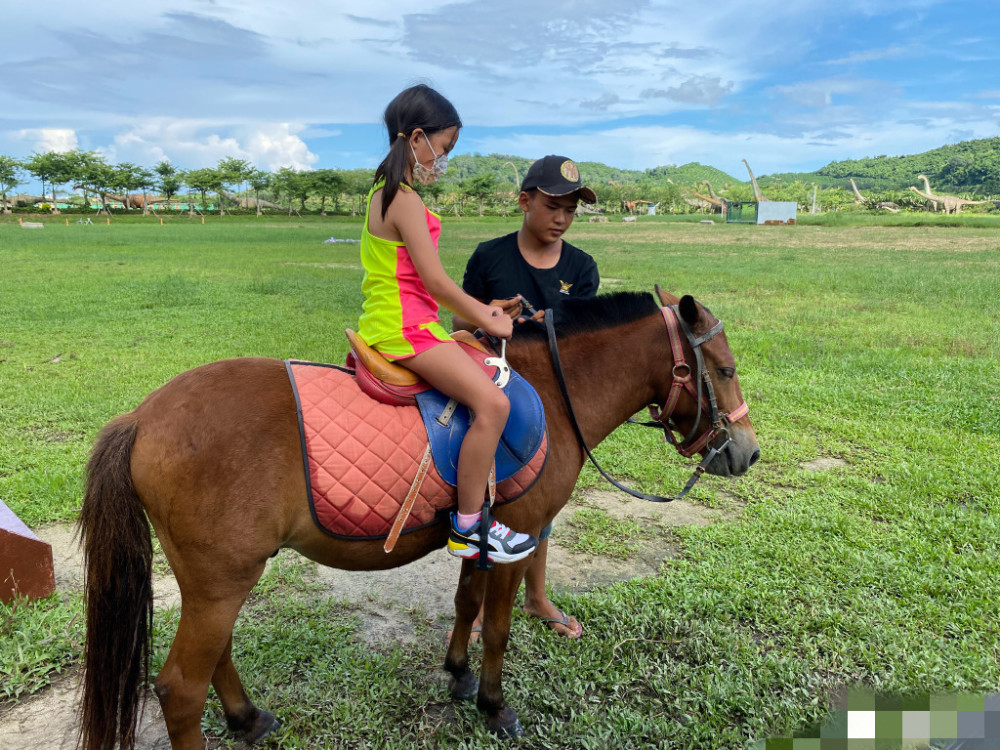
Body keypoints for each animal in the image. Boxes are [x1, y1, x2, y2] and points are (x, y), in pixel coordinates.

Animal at [78, 288, 760, 750]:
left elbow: (465, 604)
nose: (748, 453)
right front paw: (493, 706)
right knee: (179, 688)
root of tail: (141, 418)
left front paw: (457, 676)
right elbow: (498, 629)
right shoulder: (515, 539)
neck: (551, 392)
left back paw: (248, 719)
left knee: (211, 659)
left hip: (213, 580)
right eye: (725, 370)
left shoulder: (480, 536)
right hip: (221, 581)